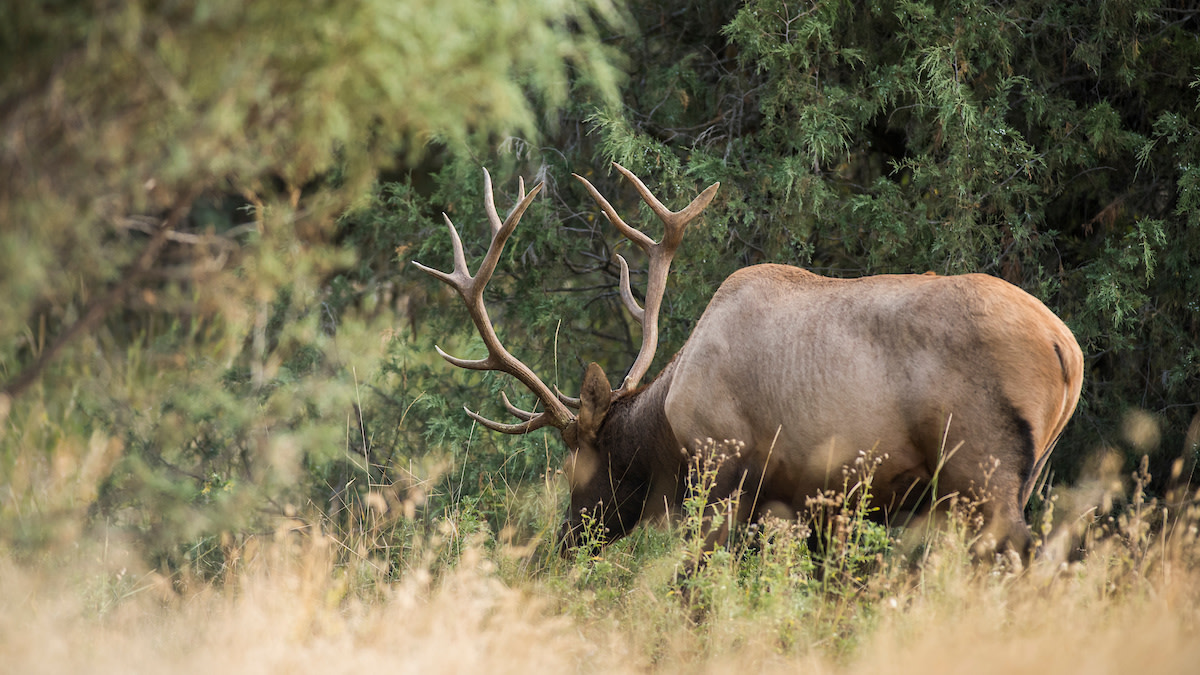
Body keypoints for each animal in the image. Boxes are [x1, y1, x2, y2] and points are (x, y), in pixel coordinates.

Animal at [412, 163, 1084, 562]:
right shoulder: (821, 502)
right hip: (1021, 475)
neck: (667, 424)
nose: (565, 543)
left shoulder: (722, 473)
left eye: (578, 463)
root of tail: (1067, 350)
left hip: (981, 467)